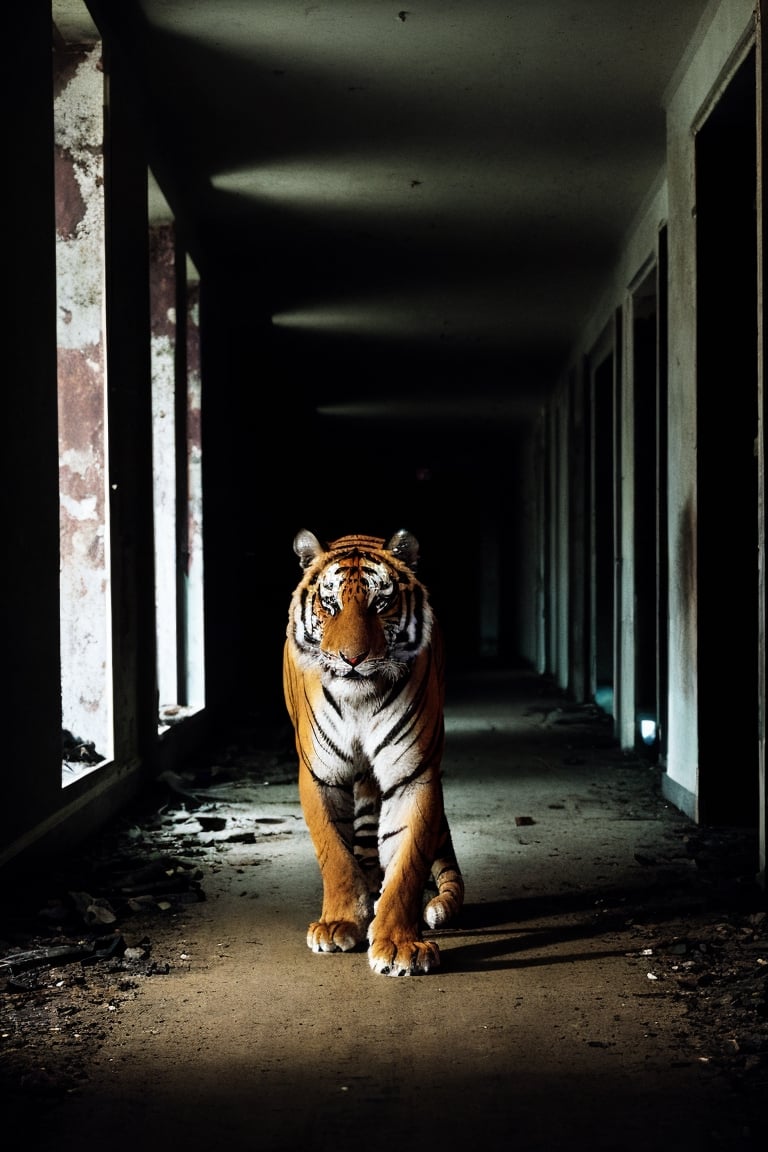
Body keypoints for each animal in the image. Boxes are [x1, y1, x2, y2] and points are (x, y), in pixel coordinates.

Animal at [282, 527, 462, 972]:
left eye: (380, 603)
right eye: (330, 604)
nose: (352, 659)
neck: (359, 702)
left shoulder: (412, 775)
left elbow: (407, 861)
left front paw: (398, 944)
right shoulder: (320, 775)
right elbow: (335, 852)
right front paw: (339, 923)